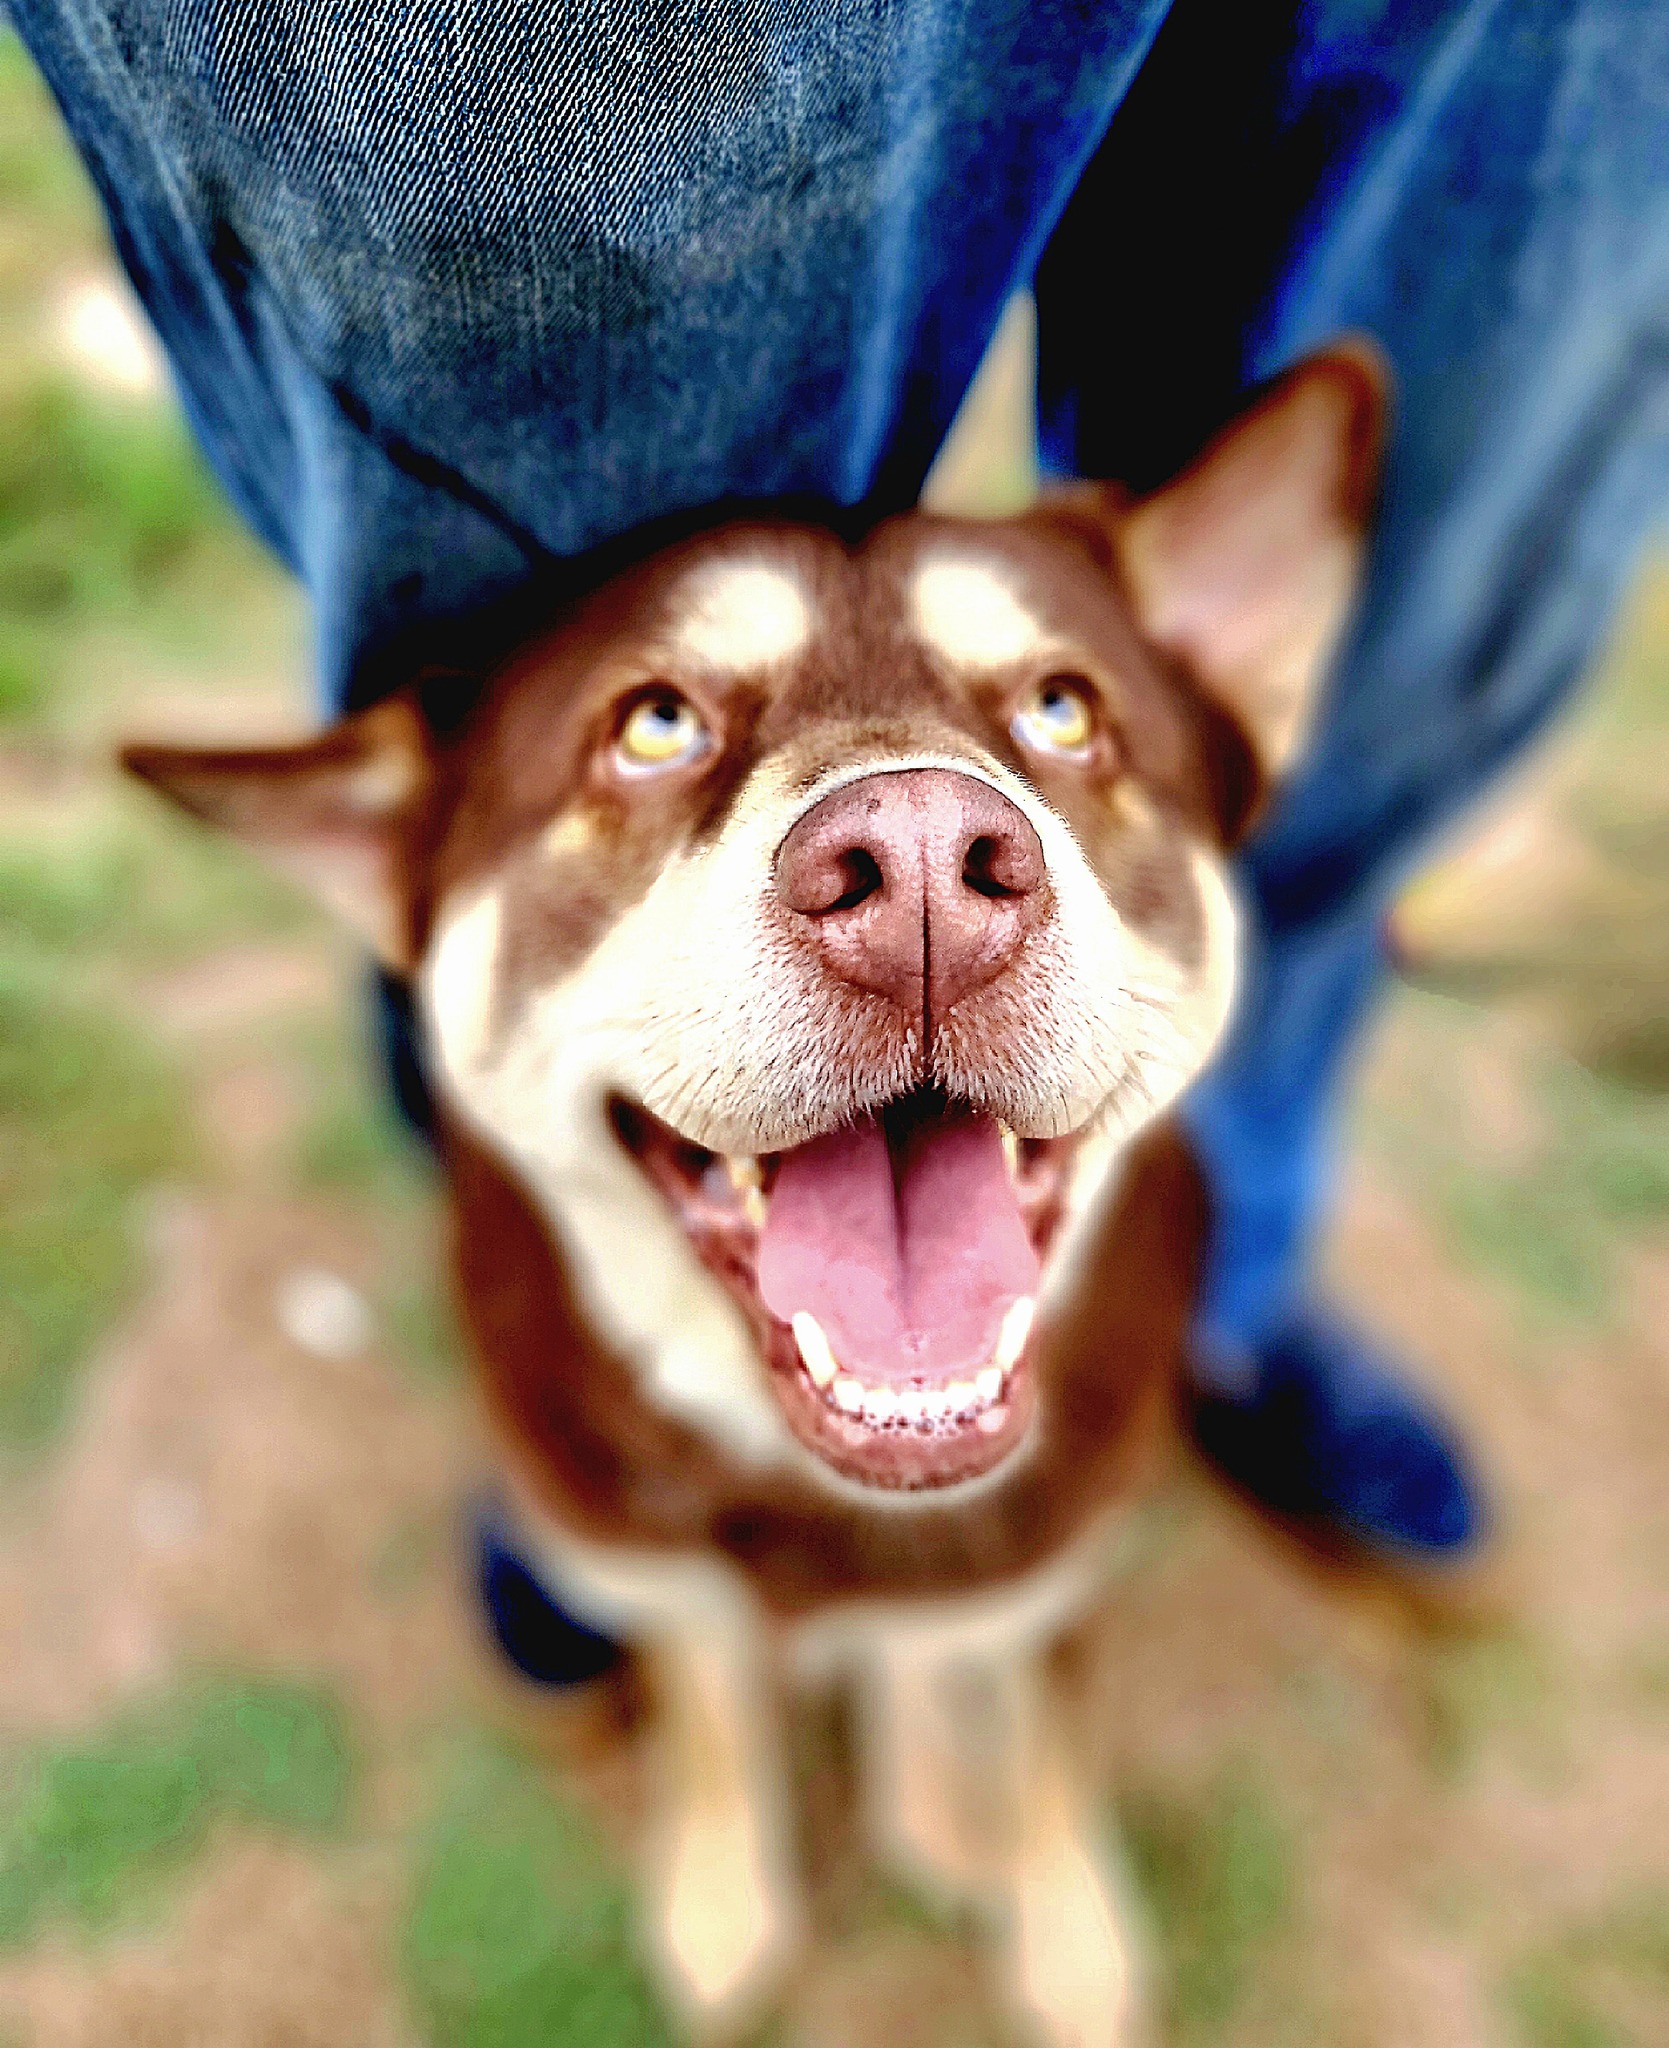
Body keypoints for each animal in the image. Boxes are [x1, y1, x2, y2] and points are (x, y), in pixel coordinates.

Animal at [123, 348, 1384, 2048]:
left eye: (1064, 708)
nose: (920, 869)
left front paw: (1064, 1930)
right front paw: (726, 1903)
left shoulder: (1057, 1565)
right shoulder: (647, 1567)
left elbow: (1045, 1743)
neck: (816, 1496)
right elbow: (713, 1707)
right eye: (653, 725)